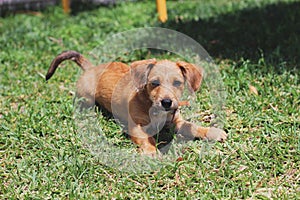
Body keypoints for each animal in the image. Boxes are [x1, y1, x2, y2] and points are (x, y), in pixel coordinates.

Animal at [45, 50, 226, 156]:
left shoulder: (176, 121)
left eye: (177, 83)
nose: (167, 102)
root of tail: (91, 68)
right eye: (154, 83)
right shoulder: (136, 126)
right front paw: (152, 152)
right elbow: (147, 139)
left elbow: (191, 126)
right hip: (86, 97)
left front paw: (211, 131)